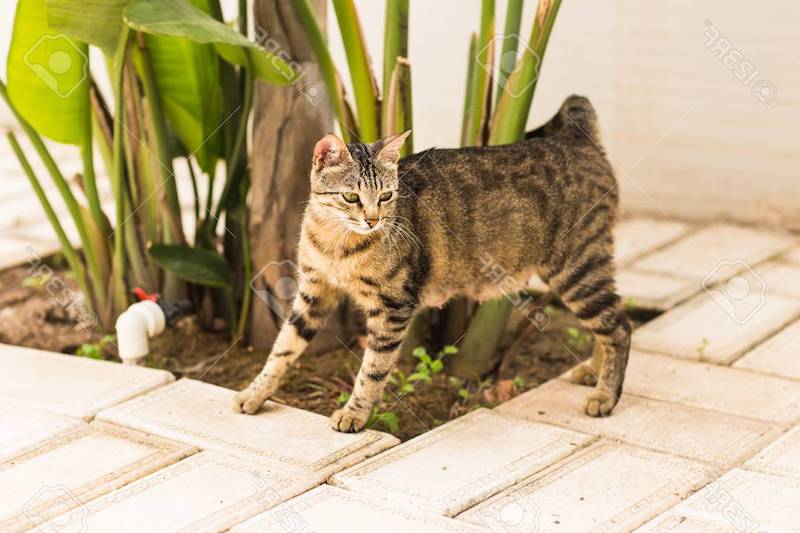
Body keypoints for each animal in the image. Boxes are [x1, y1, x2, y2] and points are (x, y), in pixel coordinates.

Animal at [234, 93, 636, 430]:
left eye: (386, 196)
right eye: (351, 197)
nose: (372, 220)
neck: (339, 244)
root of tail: (573, 137)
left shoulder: (393, 307)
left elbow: (372, 370)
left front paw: (354, 413)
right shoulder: (313, 292)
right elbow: (283, 347)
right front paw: (255, 393)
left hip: (577, 266)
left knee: (619, 325)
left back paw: (605, 394)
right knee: (608, 322)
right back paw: (592, 372)